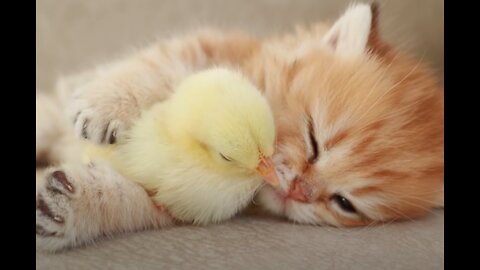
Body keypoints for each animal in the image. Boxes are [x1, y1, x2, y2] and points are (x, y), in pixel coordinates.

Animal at [35, 2, 444, 251]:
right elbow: (159, 62)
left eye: (344, 203)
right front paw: (106, 103)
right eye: (314, 139)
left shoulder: (179, 199)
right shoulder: (213, 49)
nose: (298, 190)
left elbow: (128, 198)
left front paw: (68, 204)